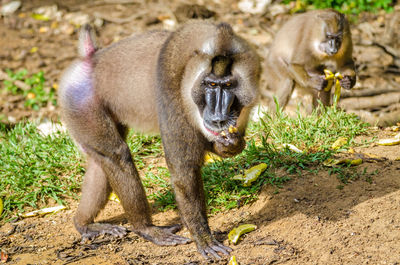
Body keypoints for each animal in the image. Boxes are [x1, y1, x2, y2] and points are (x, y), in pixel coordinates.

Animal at [58, 21, 260, 258]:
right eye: (210, 85)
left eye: (228, 86)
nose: (218, 116)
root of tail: (90, 59)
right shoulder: (172, 93)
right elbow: (183, 171)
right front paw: (204, 239)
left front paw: (232, 144)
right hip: (82, 104)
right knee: (117, 155)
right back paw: (145, 229)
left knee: (100, 163)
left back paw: (85, 224)